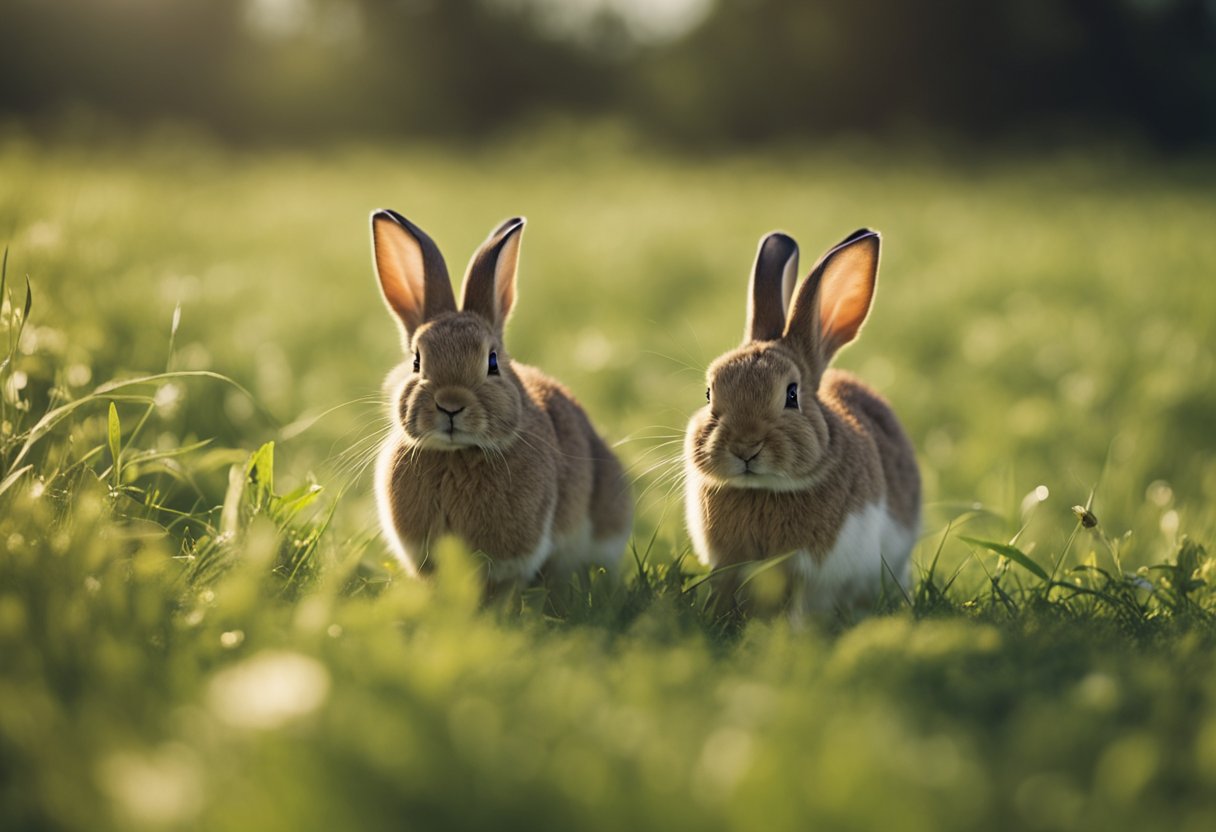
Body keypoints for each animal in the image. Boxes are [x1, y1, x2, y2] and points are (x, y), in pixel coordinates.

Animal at [685, 227, 919, 610]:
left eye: (792, 395)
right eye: (708, 394)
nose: (745, 447)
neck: (763, 489)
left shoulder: (816, 579)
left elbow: (804, 608)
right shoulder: (728, 566)